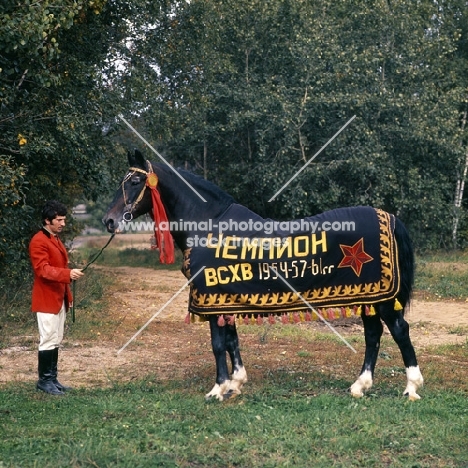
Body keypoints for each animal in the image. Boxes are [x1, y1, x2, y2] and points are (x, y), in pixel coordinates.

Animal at [102, 150, 424, 402]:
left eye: (134, 182)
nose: (109, 220)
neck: (210, 224)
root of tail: (389, 218)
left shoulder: (211, 296)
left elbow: (217, 344)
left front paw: (218, 389)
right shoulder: (225, 298)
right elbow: (231, 340)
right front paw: (236, 382)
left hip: (383, 300)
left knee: (399, 330)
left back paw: (411, 387)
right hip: (369, 295)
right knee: (373, 334)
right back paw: (360, 386)